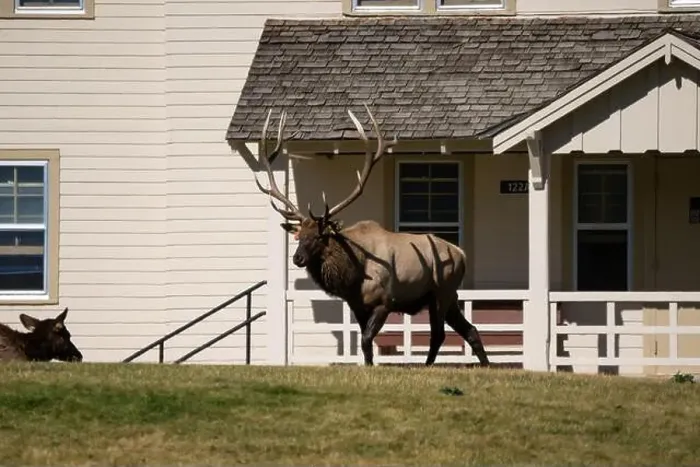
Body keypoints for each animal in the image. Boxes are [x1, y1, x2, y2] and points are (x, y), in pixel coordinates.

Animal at [250, 104, 490, 367]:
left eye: (320, 236)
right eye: (299, 235)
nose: (297, 258)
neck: (353, 274)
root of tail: (461, 254)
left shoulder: (384, 301)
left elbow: (366, 340)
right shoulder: (357, 305)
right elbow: (365, 343)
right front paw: (368, 366)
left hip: (442, 290)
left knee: (438, 333)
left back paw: (429, 366)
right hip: (449, 295)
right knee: (469, 329)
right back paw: (485, 365)